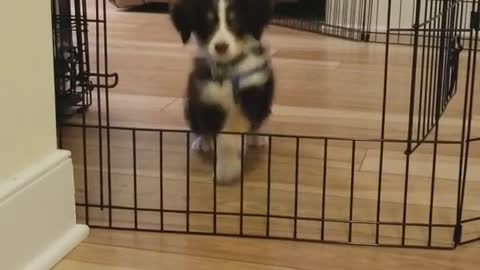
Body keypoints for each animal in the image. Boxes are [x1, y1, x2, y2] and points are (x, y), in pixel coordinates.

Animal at [171, 0, 274, 184]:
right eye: (208, 22)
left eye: (235, 21)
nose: (221, 47)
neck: (228, 69)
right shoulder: (207, 96)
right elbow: (220, 137)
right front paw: (226, 169)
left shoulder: (252, 91)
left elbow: (235, 129)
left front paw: (228, 169)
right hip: (190, 106)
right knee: (200, 127)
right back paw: (202, 142)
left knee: (258, 121)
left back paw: (256, 137)